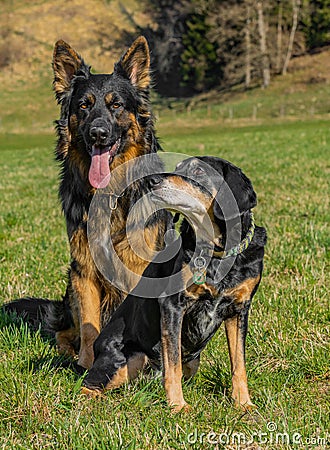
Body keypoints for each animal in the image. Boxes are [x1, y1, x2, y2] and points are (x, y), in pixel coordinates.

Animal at [81, 157, 266, 412]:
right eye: (177, 168)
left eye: (198, 170)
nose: (151, 180)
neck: (217, 253)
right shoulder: (172, 306)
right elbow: (173, 363)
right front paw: (178, 406)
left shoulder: (239, 309)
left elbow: (239, 363)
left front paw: (243, 403)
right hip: (130, 357)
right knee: (88, 385)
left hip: (193, 361)